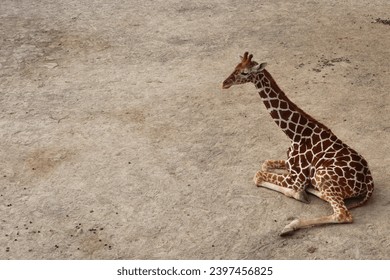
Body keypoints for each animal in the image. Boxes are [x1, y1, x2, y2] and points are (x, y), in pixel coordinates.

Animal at [221, 51, 374, 235]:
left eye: (244, 73)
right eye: (235, 67)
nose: (224, 83)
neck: (296, 134)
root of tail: (369, 182)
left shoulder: (295, 179)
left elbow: (258, 175)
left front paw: (298, 194)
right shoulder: (289, 166)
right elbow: (265, 164)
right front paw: (300, 192)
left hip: (323, 176)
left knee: (342, 214)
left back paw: (290, 226)